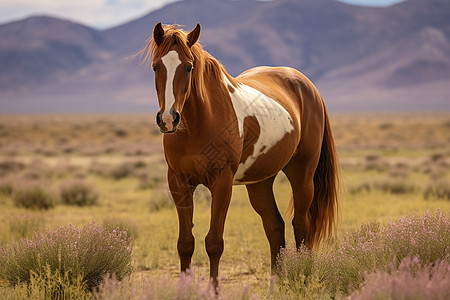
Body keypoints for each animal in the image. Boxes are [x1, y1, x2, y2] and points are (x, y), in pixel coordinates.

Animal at [139, 22, 340, 290]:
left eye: (189, 66)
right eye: (155, 66)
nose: (169, 119)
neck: (198, 124)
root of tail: (308, 87)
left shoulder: (222, 182)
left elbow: (214, 243)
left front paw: (213, 291)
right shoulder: (179, 182)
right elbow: (185, 243)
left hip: (302, 174)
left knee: (301, 226)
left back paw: (302, 281)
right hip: (260, 183)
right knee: (275, 228)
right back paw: (273, 288)